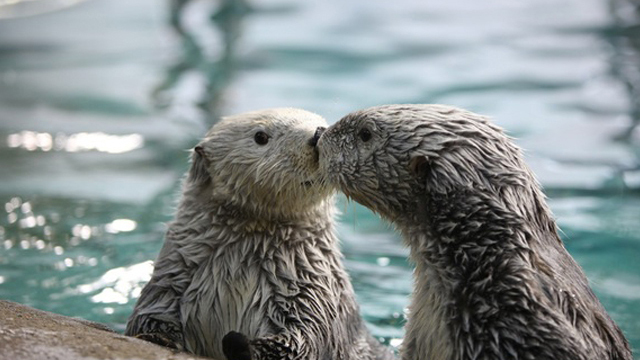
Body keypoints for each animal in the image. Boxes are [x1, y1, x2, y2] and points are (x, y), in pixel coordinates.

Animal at [124, 108, 396, 360]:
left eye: (324, 124)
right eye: (261, 136)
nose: (317, 135)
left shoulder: (310, 290)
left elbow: (303, 338)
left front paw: (240, 344)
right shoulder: (173, 275)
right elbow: (150, 314)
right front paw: (156, 336)